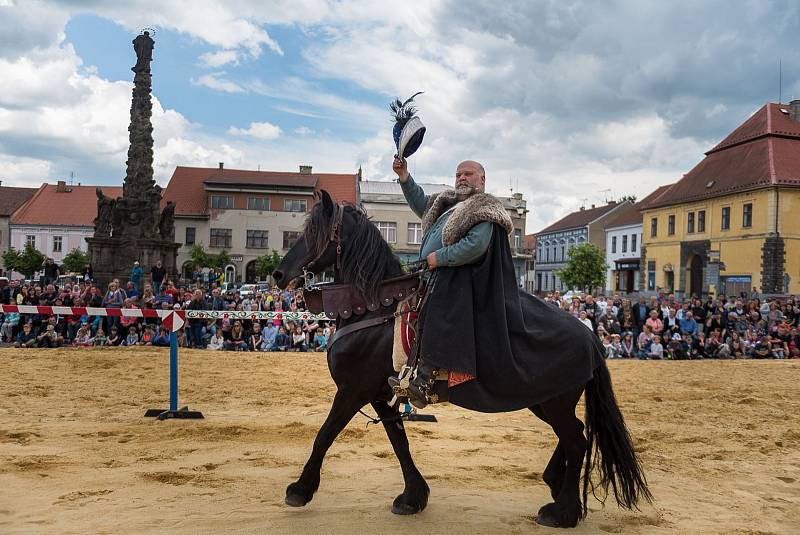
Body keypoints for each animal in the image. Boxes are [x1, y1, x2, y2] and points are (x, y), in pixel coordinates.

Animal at [272, 192, 652, 528]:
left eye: (313, 232)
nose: (277, 274)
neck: (372, 307)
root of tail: (590, 335)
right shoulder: (380, 394)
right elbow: (399, 440)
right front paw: (413, 496)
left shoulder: (353, 390)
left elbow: (325, 434)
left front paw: (300, 490)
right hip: (544, 400)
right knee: (576, 434)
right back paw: (556, 485)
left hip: (553, 401)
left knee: (576, 440)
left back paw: (564, 512)